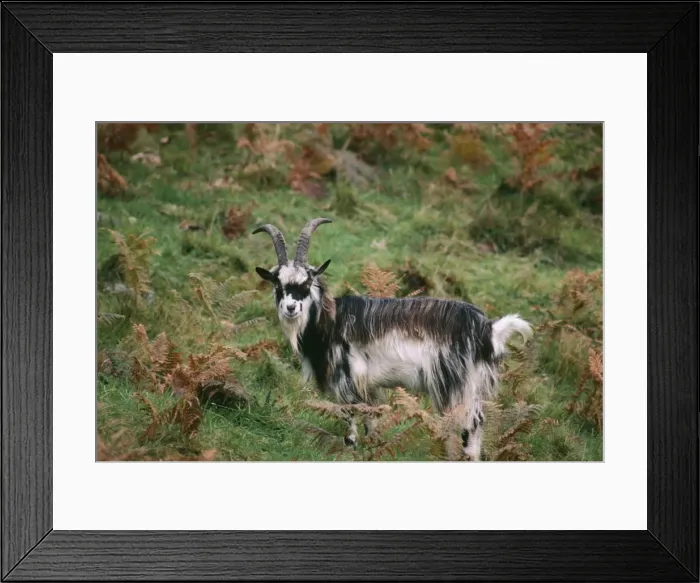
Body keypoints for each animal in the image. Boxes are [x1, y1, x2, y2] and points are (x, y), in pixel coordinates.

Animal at [254, 217, 533, 460]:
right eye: (277, 285)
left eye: (307, 282)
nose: (291, 308)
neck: (331, 321)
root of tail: (488, 329)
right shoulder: (370, 385)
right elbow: (371, 419)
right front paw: (372, 446)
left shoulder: (348, 377)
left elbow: (351, 416)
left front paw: (351, 447)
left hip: (455, 383)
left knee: (469, 424)